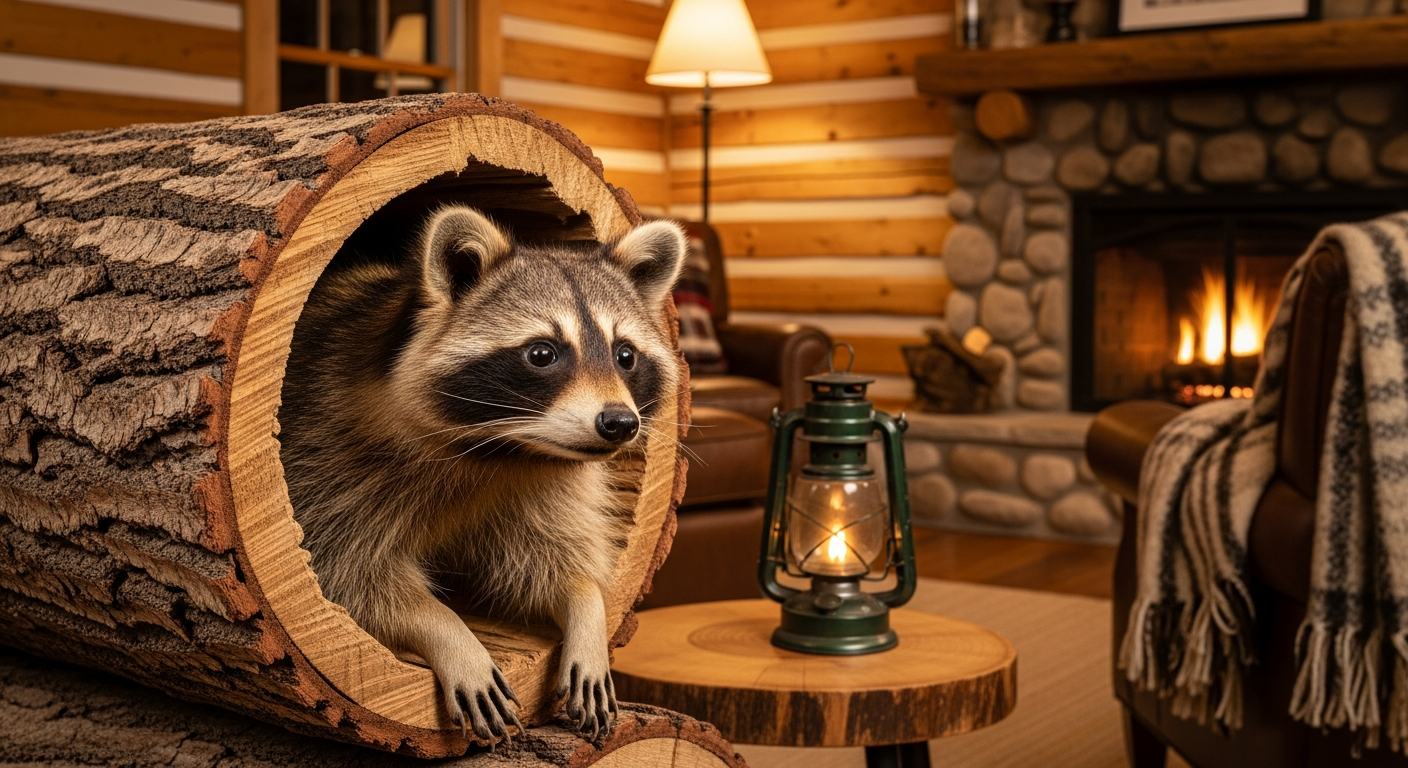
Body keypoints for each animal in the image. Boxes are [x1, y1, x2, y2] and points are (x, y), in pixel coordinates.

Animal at [279, 206, 686, 742]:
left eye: (625, 355)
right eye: (542, 353)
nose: (619, 422)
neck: (502, 450)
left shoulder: (541, 485)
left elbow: (549, 560)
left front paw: (586, 608)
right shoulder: (326, 456)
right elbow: (350, 575)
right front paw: (446, 628)